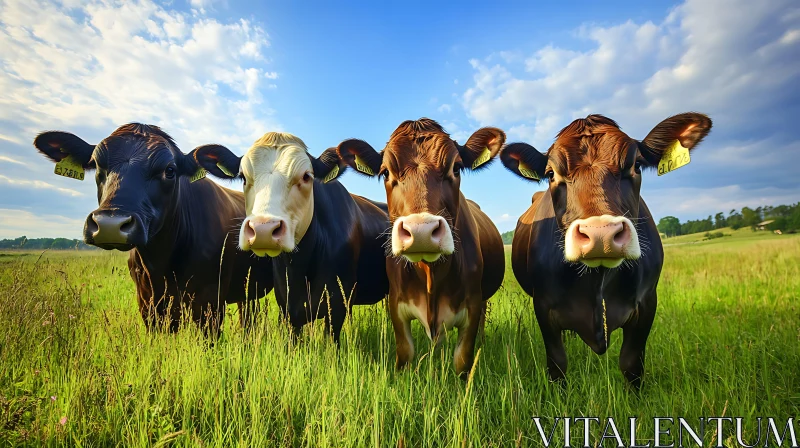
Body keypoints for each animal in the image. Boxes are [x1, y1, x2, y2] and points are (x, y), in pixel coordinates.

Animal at [33, 122, 276, 332]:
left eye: (169, 170)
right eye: (97, 165)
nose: (109, 224)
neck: (161, 264)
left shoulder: (210, 303)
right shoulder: (148, 304)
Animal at [192, 131, 390, 342]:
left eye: (306, 176)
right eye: (243, 177)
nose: (263, 229)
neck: (301, 266)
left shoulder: (337, 305)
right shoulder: (286, 305)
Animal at [334, 119, 504, 378]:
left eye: (456, 168)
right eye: (385, 172)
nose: (421, 231)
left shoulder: (473, 304)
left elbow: (462, 361)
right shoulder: (396, 304)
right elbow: (405, 354)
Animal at [500, 113, 712, 388]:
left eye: (636, 165)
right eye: (551, 173)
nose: (600, 233)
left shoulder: (647, 302)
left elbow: (632, 365)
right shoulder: (543, 306)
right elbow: (558, 365)